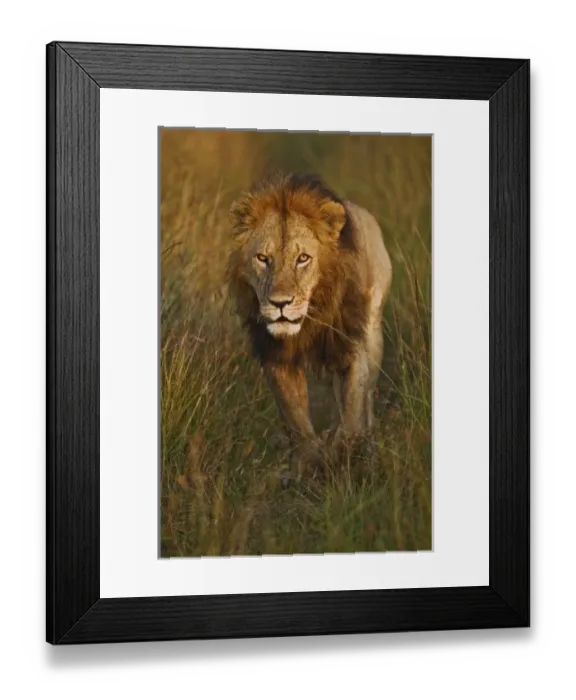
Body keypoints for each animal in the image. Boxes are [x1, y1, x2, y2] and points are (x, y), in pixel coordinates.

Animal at [227, 172, 393, 474]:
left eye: (302, 258)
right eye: (263, 258)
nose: (280, 303)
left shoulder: (350, 344)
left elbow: (353, 410)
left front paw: (344, 455)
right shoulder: (276, 356)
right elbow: (296, 419)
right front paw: (308, 464)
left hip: (374, 331)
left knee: (366, 402)